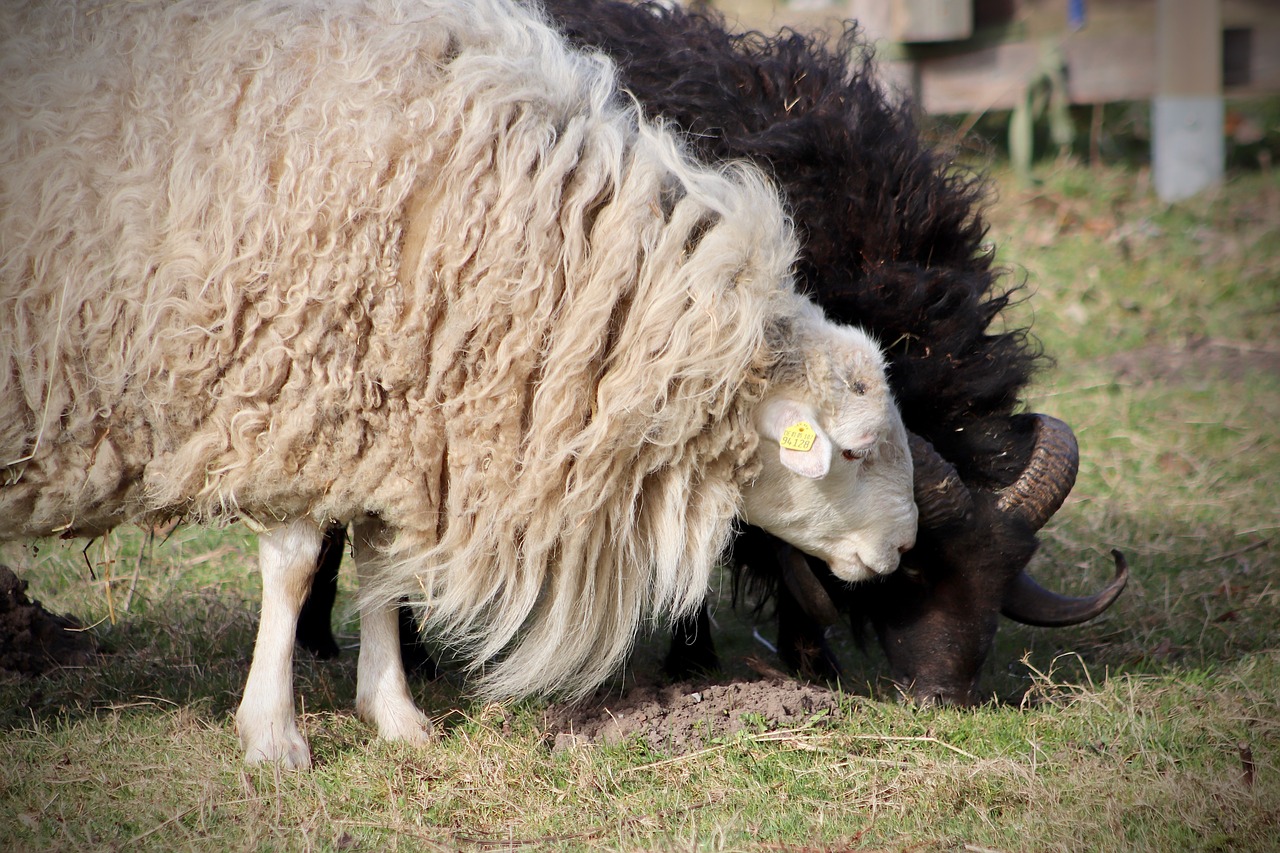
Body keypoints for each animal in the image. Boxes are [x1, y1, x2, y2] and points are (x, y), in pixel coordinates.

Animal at [2, 0, 921, 763]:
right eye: (852, 450)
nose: (904, 547)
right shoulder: (294, 397)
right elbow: (296, 568)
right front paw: (275, 734)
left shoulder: (390, 423)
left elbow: (382, 568)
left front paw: (394, 715)